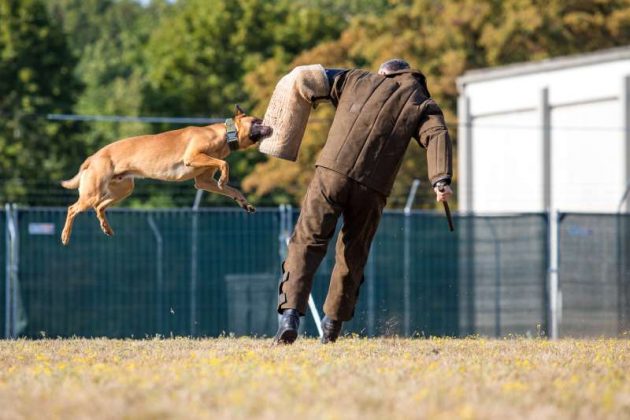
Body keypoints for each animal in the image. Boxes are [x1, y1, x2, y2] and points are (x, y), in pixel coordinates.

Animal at [59, 104, 274, 246]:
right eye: (257, 121)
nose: (272, 126)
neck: (226, 134)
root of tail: (93, 157)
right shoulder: (193, 157)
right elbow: (224, 164)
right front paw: (224, 177)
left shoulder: (204, 181)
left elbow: (233, 190)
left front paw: (244, 202)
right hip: (93, 192)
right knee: (73, 208)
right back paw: (65, 236)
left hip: (123, 189)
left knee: (99, 207)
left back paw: (106, 227)